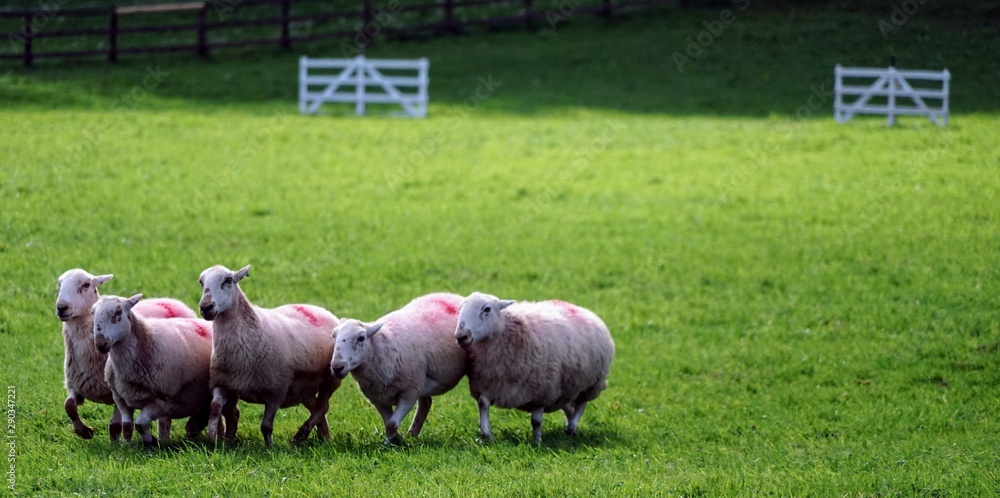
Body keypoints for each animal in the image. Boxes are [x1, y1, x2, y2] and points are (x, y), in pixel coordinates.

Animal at [56, 268, 199, 440]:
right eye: (59, 284)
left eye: (86, 285)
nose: (61, 307)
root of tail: (169, 301)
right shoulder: (74, 385)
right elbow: (69, 406)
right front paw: (85, 431)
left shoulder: (117, 391)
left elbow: (116, 426)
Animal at [91, 294, 215, 446]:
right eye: (92, 313)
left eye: (118, 312)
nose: (100, 344)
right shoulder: (121, 399)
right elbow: (127, 426)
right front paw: (126, 445)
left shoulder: (161, 403)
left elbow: (140, 423)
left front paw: (150, 441)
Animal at [197, 266, 342, 446]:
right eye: (201, 282)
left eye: (228, 280)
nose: (205, 307)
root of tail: (319, 309)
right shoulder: (222, 383)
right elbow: (215, 407)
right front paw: (214, 439)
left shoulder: (276, 392)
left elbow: (266, 426)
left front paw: (269, 447)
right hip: (303, 387)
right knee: (316, 407)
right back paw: (324, 437)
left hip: (331, 380)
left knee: (322, 407)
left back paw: (301, 435)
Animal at [330, 292, 466, 444]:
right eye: (333, 336)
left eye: (361, 338)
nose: (337, 367)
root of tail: (451, 295)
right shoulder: (378, 399)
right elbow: (388, 423)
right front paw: (397, 441)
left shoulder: (409, 393)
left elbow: (391, 425)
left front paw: (389, 444)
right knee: (426, 403)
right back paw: (412, 433)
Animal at [456, 290, 612, 446]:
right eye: (460, 308)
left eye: (486, 309)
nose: (461, 336)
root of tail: (577, 307)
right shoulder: (488, 384)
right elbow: (483, 405)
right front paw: (487, 434)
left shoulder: (541, 393)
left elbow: (536, 421)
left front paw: (536, 443)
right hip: (568, 388)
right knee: (569, 408)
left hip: (590, 384)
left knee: (581, 405)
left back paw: (572, 427)